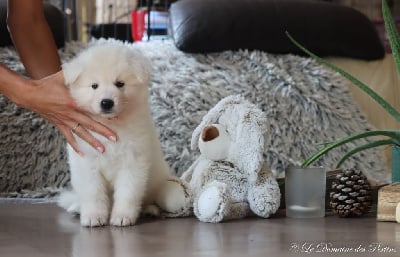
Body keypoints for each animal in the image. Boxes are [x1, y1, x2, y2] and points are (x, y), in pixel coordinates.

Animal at [57, 41, 192, 225]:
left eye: (120, 83)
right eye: (94, 86)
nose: (106, 102)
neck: (113, 124)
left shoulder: (133, 160)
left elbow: (128, 192)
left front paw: (122, 216)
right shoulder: (87, 161)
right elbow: (93, 193)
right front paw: (93, 216)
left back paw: (150, 209)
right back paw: (76, 207)